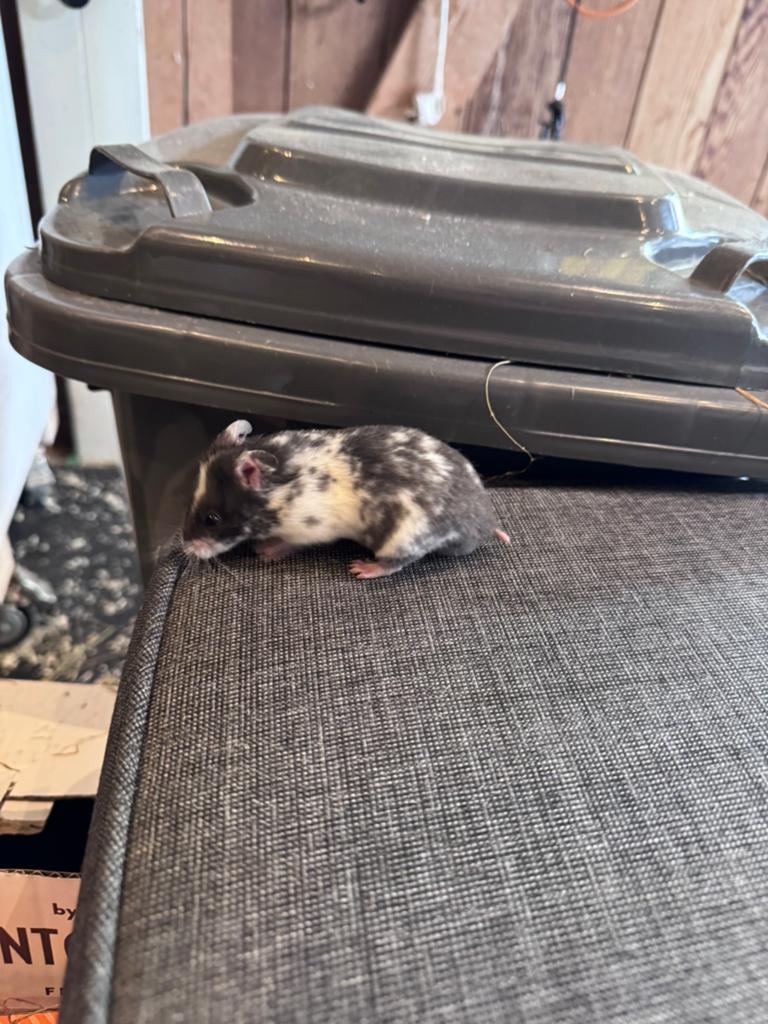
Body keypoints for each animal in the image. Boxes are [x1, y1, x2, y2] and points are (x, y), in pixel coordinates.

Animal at [182, 420, 510, 579]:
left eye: (211, 519)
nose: (185, 549)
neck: (278, 493)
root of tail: (482, 523)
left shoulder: (309, 529)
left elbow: (288, 543)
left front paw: (265, 550)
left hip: (403, 537)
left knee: (398, 563)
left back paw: (363, 569)